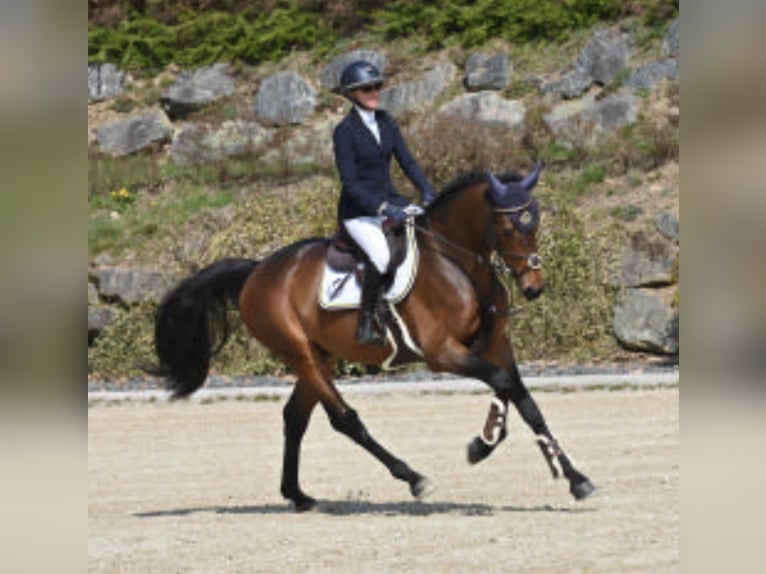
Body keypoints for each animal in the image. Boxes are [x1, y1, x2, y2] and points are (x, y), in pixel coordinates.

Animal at [153, 163, 600, 512]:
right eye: (507, 226)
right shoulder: (442, 353)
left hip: (321, 355)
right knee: (343, 419)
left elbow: (523, 400)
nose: (534, 287)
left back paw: (298, 495)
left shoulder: (495, 345)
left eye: (534, 222)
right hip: (301, 354)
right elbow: (505, 385)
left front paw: (574, 478)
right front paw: (482, 445)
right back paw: (413, 478)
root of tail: (257, 271)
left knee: (295, 417)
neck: (458, 263)